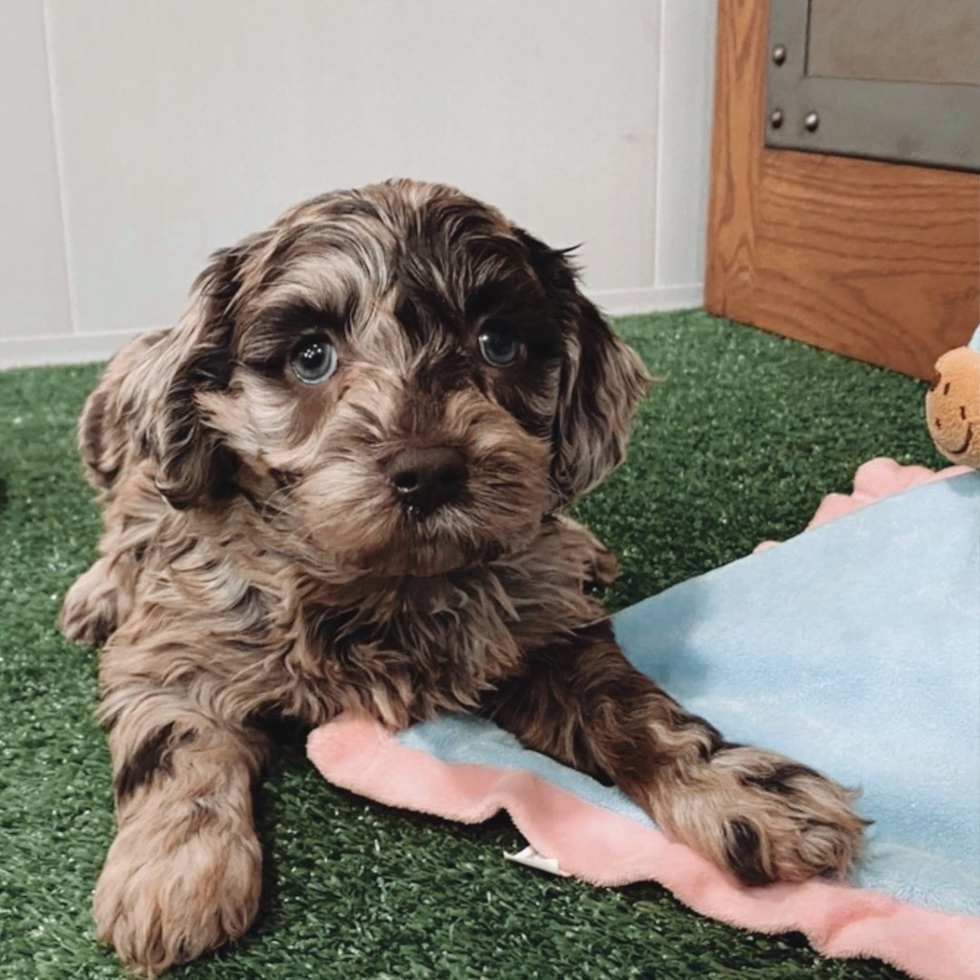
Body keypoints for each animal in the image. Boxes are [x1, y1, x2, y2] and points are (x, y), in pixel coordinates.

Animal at [59, 182, 864, 972]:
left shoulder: (545, 629)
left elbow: (634, 711)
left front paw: (747, 793)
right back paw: (97, 592)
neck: (391, 585)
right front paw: (175, 870)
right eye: (311, 356)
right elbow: (175, 744)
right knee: (120, 520)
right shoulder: (173, 646)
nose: (429, 471)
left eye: (498, 343)